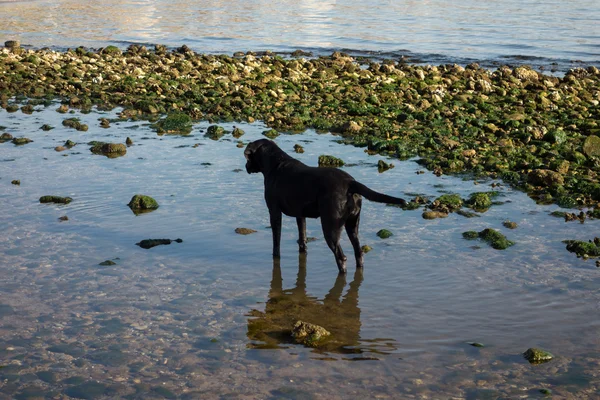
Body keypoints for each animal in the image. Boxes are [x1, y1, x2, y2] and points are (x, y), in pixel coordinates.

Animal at [245, 139, 408, 274]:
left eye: (247, 157)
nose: (246, 166)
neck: (275, 164)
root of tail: (350, 183)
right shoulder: (300, 214)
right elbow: (302, 237)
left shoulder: (274, 211)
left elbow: (276, 241)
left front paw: (275, 256)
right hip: (352, 224)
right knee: (358, 252)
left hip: (331, 227)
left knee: (341, 257)